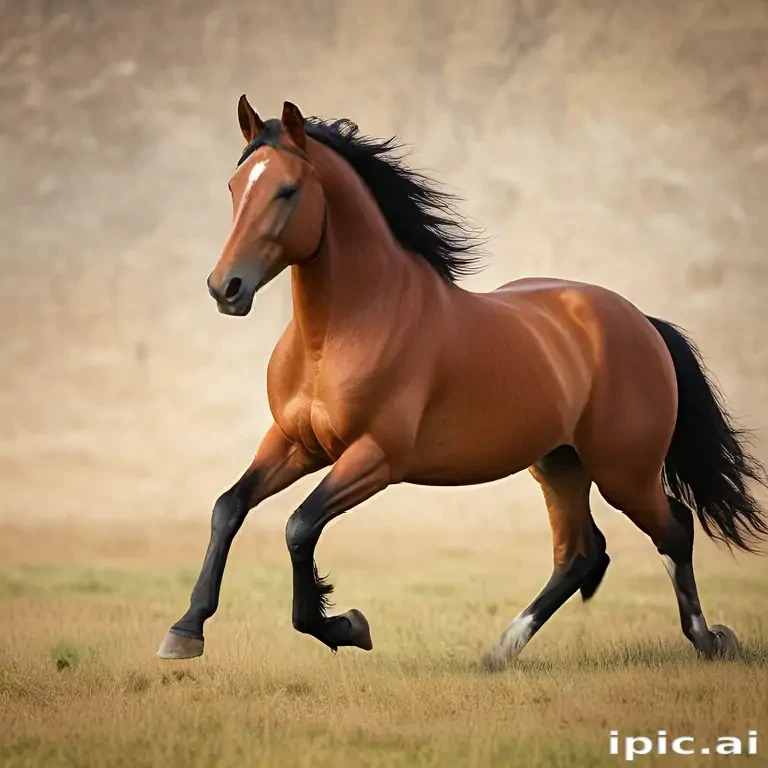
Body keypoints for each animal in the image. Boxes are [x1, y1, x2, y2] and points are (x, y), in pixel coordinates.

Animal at [157, 96, 767, 669]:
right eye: (235, 186)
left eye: (286, 190)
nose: (225, 288)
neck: (338, 332)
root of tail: (641, 322)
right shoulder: (295, 443)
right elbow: (228, 507)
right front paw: (185, 631)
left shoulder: (376, 457)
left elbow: (298, 526)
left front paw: (346, 626)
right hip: (559, 464)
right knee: (580, 553)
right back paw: (501, 651)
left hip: (625, 472)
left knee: (674, 530)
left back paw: (710, 640)